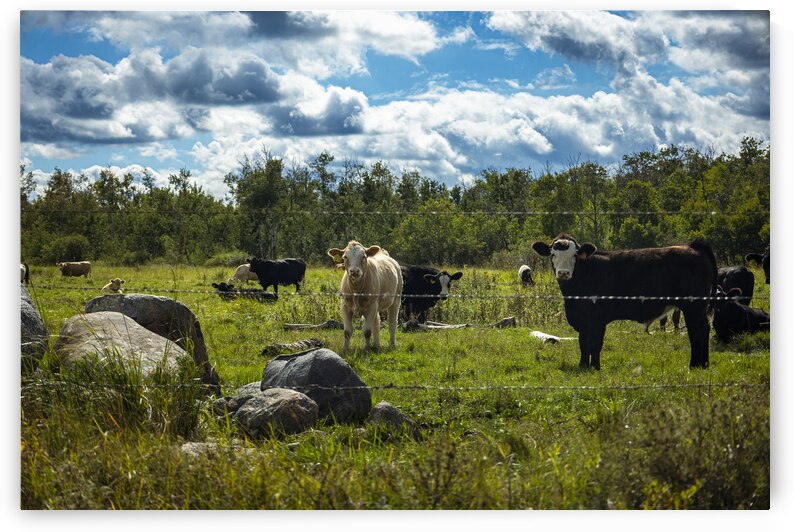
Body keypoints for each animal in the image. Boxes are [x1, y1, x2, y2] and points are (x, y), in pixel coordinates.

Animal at [532, 234, 717, 370]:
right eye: (553, 254)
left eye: (575, 255)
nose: (563, 273)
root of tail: (692, 246)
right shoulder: (582, 320)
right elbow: (583, 343)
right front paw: (583, 365)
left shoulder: (597, 319)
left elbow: (594, 343)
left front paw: (595, 367)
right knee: (705, 328)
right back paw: (704, 364)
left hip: (693, 306)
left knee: (697, 331)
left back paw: (694, 365)